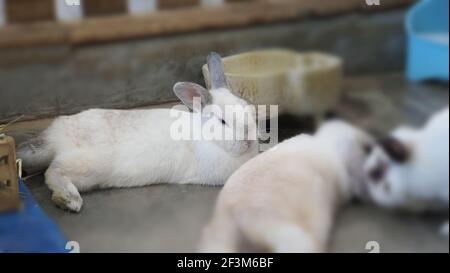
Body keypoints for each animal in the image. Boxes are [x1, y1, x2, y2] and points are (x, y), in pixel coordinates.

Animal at [17, 52, 258, 211]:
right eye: (223, 121)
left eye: (246, 106)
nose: (248, 139)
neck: (208, 139)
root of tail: (53, 135)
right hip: (87, 166)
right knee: (53, 172)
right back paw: (70, 200)